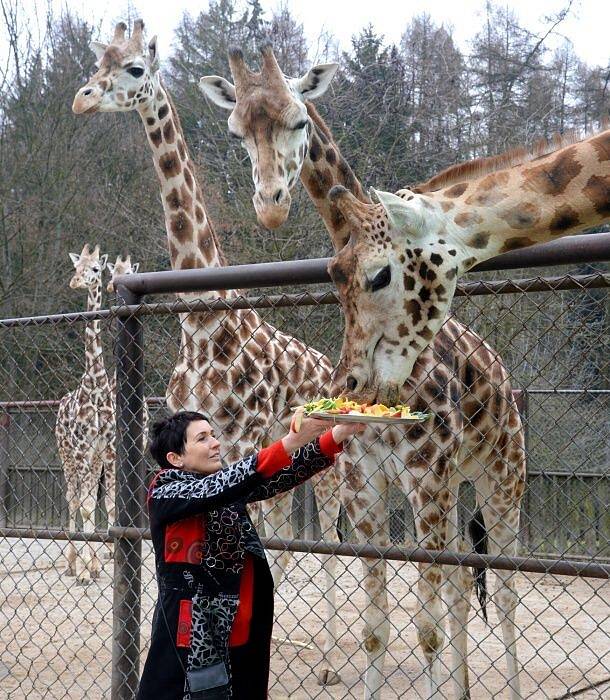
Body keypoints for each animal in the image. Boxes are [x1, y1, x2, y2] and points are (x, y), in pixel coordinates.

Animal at [71, 23, 346, 684]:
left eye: (136, 68)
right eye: (98, 63)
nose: (82, 99)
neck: (200, 319)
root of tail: (326, 367)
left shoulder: (241, 436)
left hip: (328, 471)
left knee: (335, 540)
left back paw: (328, 659)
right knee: (288, 528)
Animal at [201, 46, 528, 696]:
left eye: (299, 119)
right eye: (238, 132)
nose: (270, 204)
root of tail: (504, 381)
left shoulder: (425, 473)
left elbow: (424, 630)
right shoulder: (365, 480)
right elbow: (379, 627)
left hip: (503, 477)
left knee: (504, 591)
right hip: (460, 482)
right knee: (463, 582)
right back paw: (462, 687)